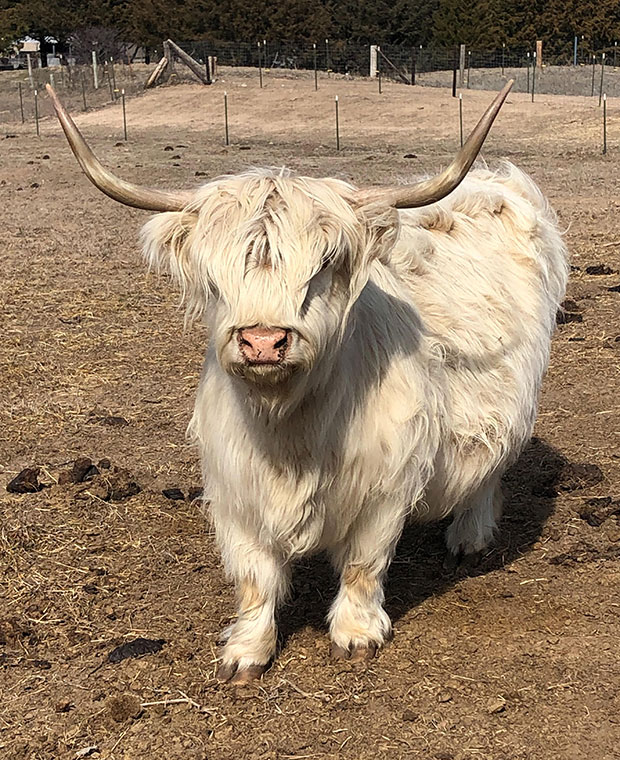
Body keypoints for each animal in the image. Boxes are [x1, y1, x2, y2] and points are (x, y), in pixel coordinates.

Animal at [48, 83, 568, 684]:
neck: (290, 432)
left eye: (323, 266)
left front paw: (356, 634)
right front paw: (246, 651)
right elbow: (254, 577)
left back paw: (469, 537)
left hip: (514, 404)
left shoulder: (387, 483)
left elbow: (364, 564)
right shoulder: (235, 488)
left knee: (489, 467)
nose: (263, 341)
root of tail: (497, 180)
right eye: (214, 277)